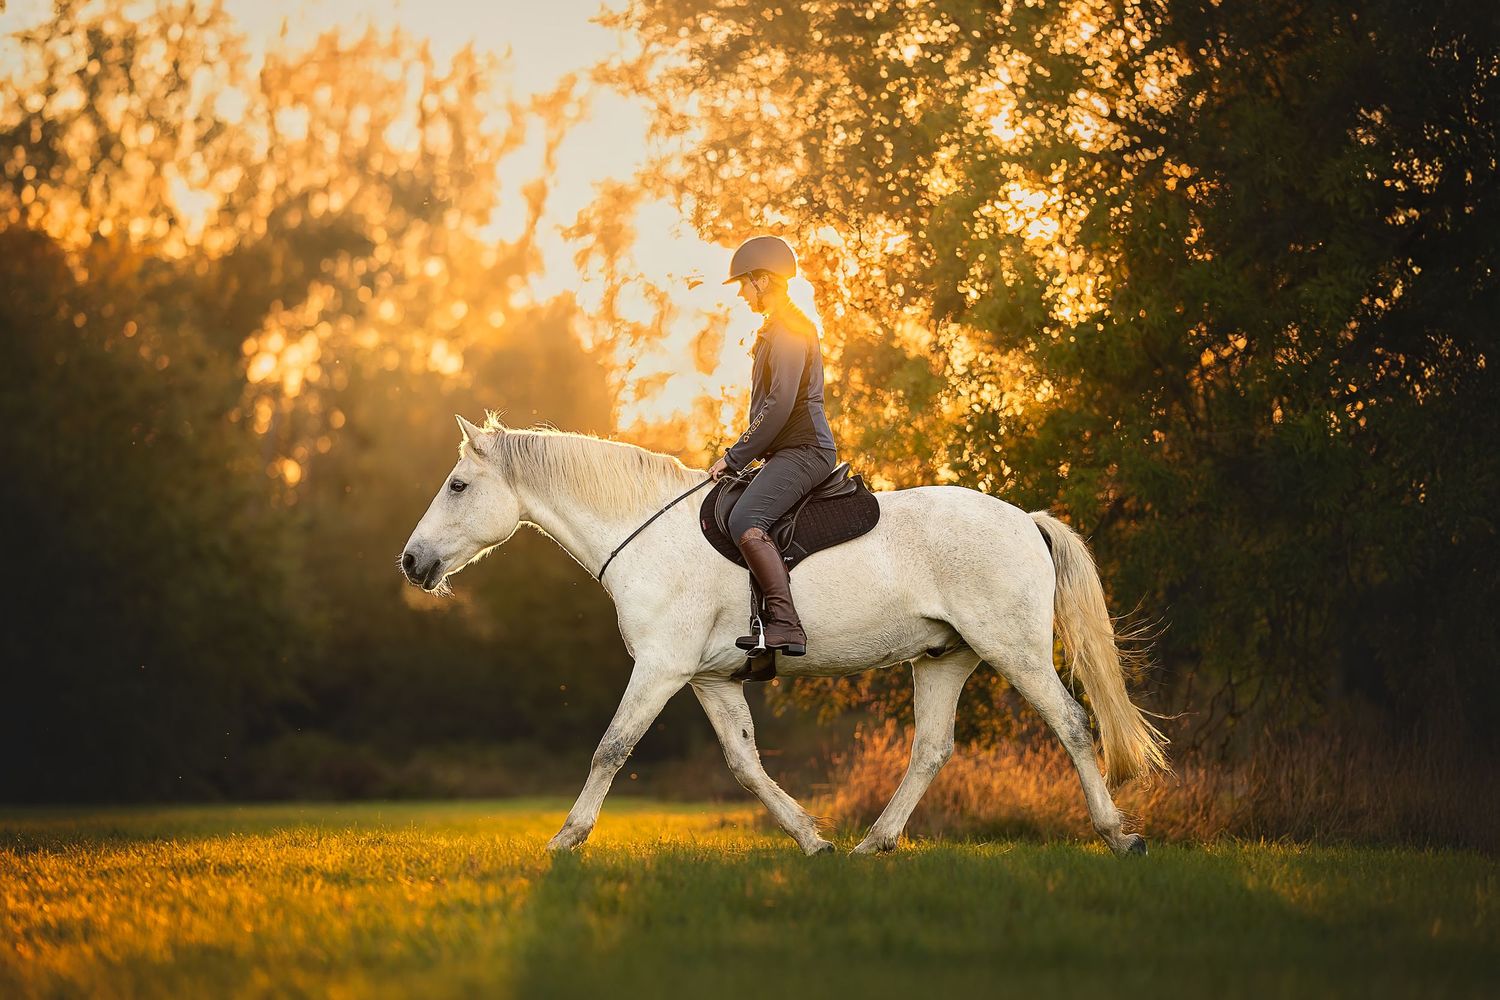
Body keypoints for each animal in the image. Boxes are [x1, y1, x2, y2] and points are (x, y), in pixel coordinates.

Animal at [400, 415, 1168, 857]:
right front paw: (811, 839)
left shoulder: (660, 668)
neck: (648, 535)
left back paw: (1119, 836)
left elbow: (611, 749)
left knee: (1072, 724)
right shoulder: (708, 679)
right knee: (930, 750)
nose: (411, 562)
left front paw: (565, 840)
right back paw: (872, 845)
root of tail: (1025, 519)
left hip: (1017, 652)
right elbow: (745, 765)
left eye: (459, 485)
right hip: (944, 659)